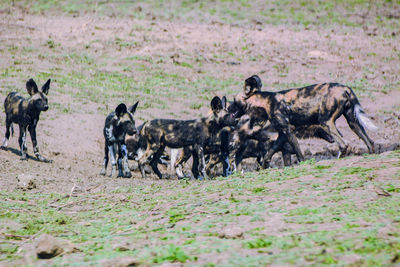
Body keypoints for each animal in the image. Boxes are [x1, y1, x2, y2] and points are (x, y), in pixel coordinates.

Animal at [230, 74, 376, 169]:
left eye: (234, 100)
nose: (227, 107)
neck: (266, 102)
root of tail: (345, 88)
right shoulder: (283, 133)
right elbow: (271, 150)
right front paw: (264, 165)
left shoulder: (288, 130)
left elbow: (298, 152)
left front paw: (303, 163)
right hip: (352, 122)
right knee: (370, 142)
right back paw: (370, 155)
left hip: (325, 122)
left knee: (343, 145)